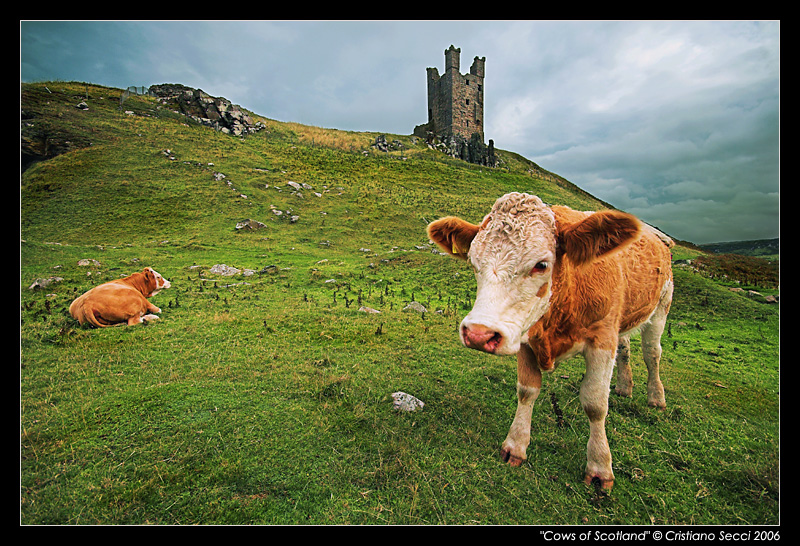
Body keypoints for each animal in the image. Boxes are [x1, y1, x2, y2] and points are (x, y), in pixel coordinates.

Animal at [427, 192, 673, 489]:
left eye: (541, 264)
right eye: (474, 263)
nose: (479, 333)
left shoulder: (603, 337)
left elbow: (595, 403)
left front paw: (600, 466)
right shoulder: (523, 334)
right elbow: (527, 390)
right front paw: (515, 446)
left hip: (661, 305)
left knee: (652, 353)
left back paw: (656, 397)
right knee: (625, 348)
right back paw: (625, 387)